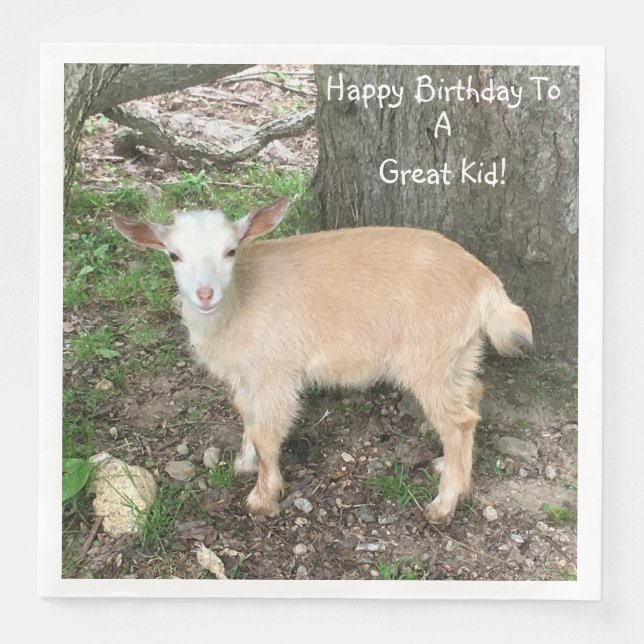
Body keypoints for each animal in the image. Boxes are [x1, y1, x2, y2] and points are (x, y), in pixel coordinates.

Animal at [113, 198, 532, 526]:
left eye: (230, 251)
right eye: (173, 255)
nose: (204, 294)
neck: (237, 304)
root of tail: (486, 286)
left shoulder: (276, 372)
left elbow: (267, 432)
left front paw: (262, 498)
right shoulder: (248, 376)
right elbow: (246, 413)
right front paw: (244, 463)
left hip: (429, 357)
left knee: (457, 422)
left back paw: (443, 504)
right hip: (459, 354)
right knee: (472, 400)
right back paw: (451, 468)